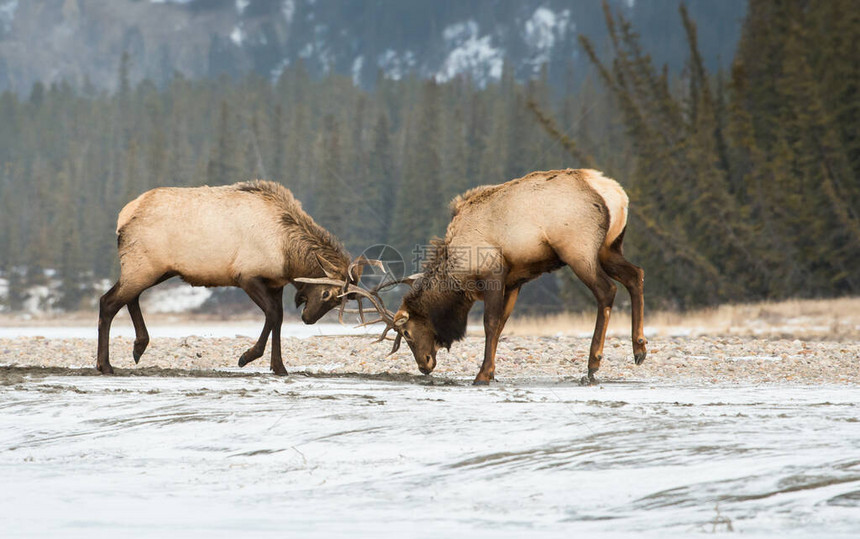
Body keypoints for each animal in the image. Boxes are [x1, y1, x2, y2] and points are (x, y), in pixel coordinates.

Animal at [96, 180, 372, 376]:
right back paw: (105, 365)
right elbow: (272, 314)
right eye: (326, 293)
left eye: (339, 301)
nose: (308, 319)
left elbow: (279, 320)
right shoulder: (246, 275)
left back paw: (138, 346)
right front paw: (247, 356)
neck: (288, 255)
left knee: (129, 298)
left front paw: (279, 367)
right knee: (108, 302)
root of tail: (123, 216)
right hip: (143, 266)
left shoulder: (276, 283)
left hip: (153, 269)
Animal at [368, 171, 644, 386]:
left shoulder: (494, 273)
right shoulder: (514, 282)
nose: (424, 365)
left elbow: (490, 323)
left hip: (579, 250)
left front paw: (482, 375)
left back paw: (593, 363)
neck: (457, 274)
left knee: (607, 290)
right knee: (636, 275)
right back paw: (639, 348)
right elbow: (501, 325)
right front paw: (491, 371)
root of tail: (616, 194)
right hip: (609, 248)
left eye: (407, 333)